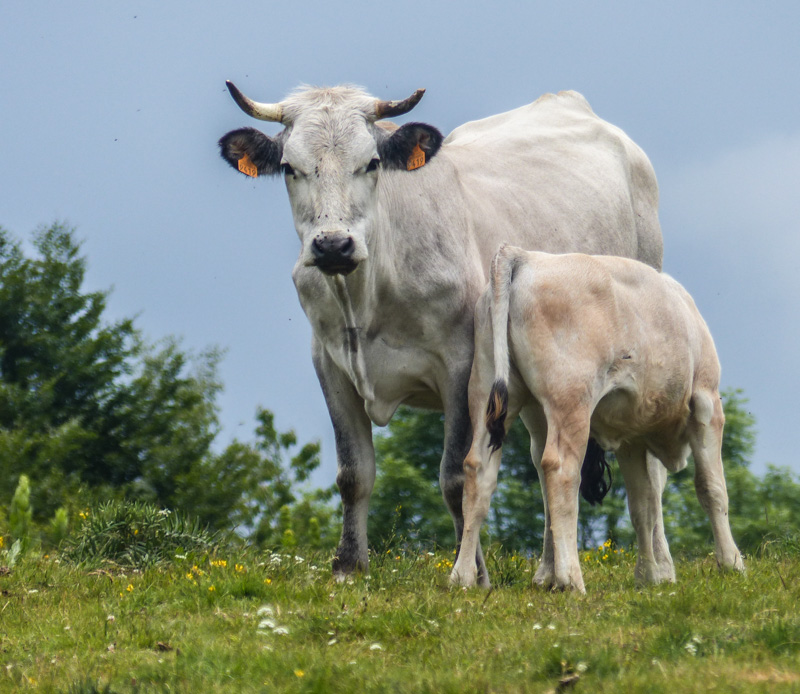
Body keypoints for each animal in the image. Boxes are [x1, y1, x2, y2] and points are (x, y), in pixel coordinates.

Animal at [217, 84, 664, 584]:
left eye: (371, 162)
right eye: (291, 168)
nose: (333, 245)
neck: (368, 293)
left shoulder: (462, 367)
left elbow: (456, 476)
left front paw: (473, 572)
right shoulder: (329, 364)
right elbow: (353, 473)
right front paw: (348, 565)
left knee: (650, 467)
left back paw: (658, 568)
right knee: (547, 456)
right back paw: (548, 571)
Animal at [450, 246, 744, 592]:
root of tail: (525, 255)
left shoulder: (631, 436)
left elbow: (642, 505)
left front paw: (648, 576)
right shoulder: (706, 402)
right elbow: (712, 488)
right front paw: (732, 564)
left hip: (488, 391)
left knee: (477, 471)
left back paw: (463, 576)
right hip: (571, 400)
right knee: (560, 470)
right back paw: (570, 579)